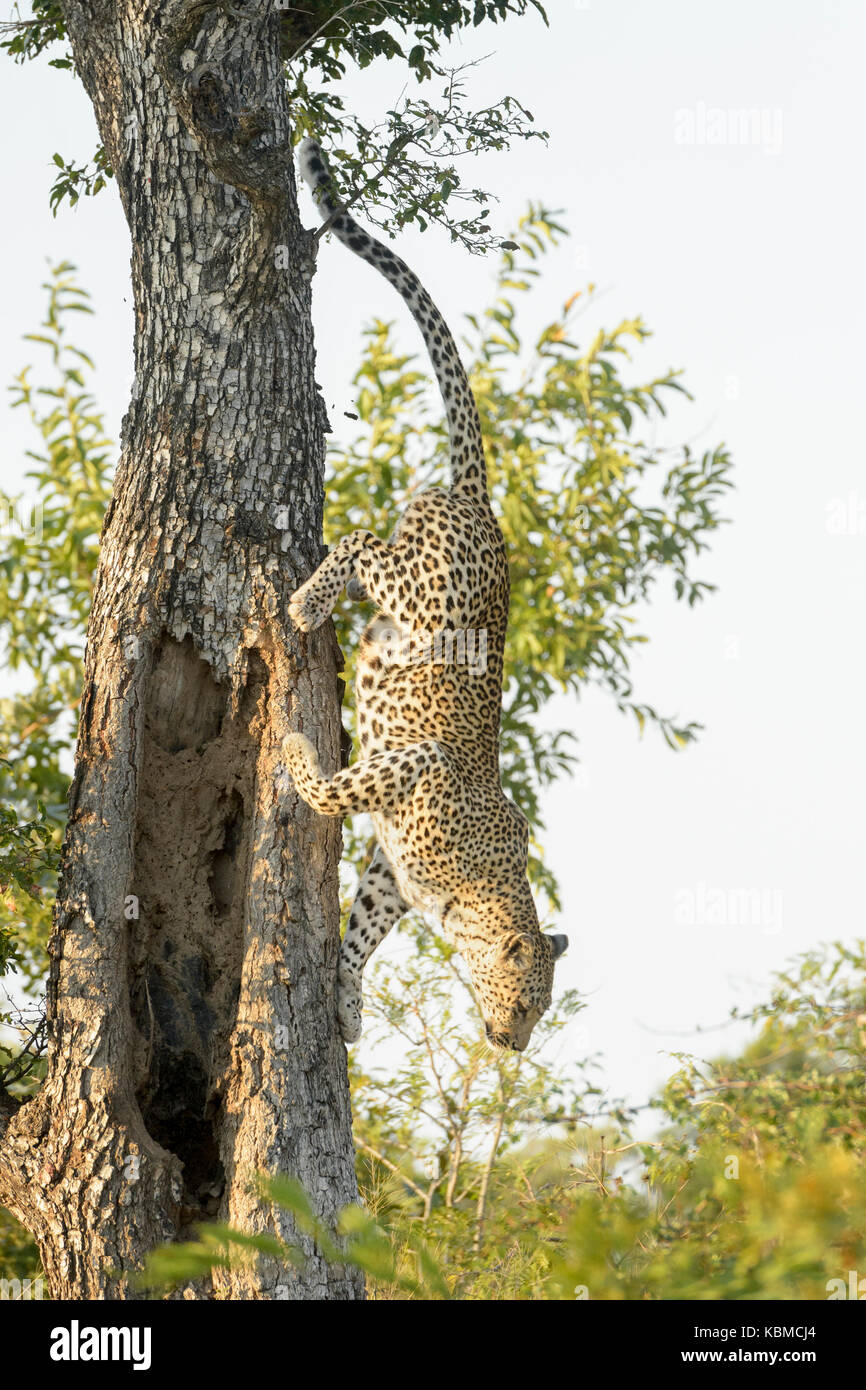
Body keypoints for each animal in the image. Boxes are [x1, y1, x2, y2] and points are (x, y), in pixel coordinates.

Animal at [283, 136, 568, 1052]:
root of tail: (483, 503)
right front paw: (298, 751)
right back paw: (304, 604)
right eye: (526, 1000)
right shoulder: (416, 765)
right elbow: (330, 788)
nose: (510, 1045)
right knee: (359, 543)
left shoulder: (391, 874)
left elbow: (362, 932)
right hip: (419, 593)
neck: (471, 901)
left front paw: (344, 1003)